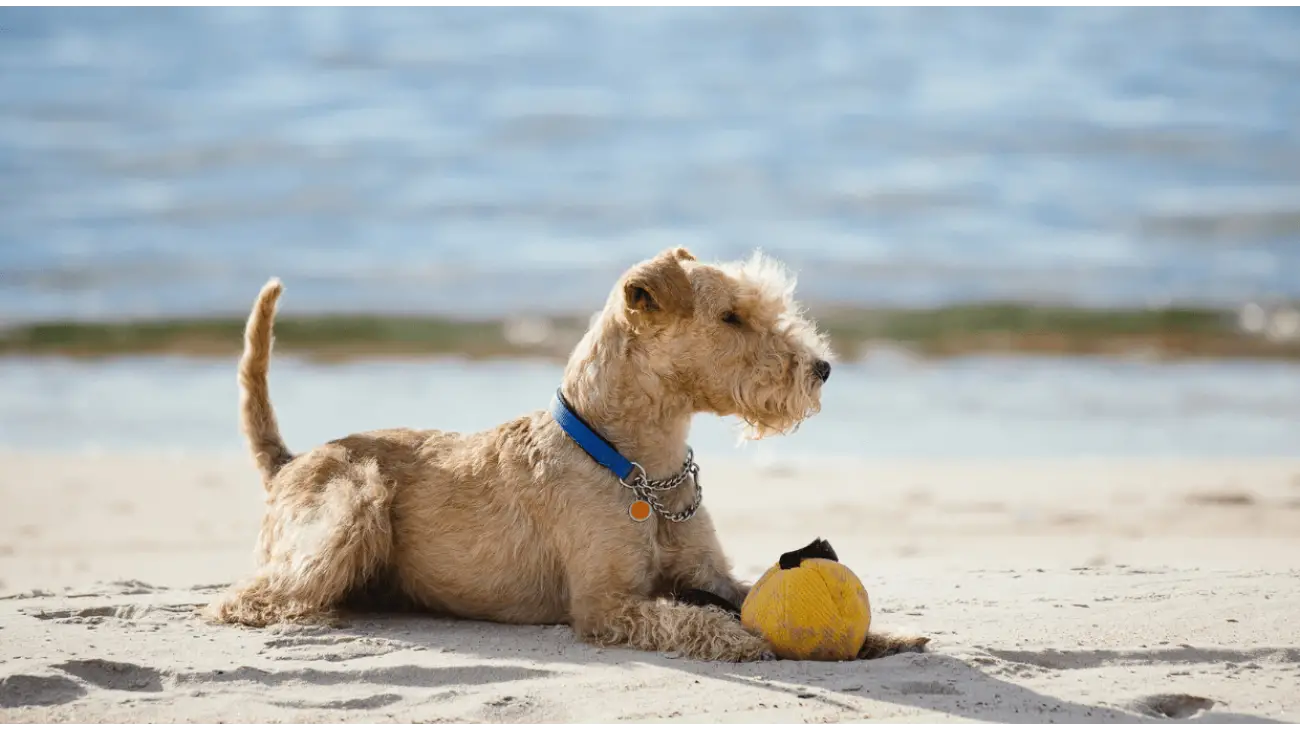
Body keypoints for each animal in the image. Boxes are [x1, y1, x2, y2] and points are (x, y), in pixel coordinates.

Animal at [208, 244, 930, 659]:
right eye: (730, 316)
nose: (822, 369)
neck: (638, 466)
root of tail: (288, 462)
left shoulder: (709, 573)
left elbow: (747, 590)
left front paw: (885, 635)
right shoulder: (605, 604)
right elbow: (698, 621)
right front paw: (743, 638)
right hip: (354, 504)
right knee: (249, 597)